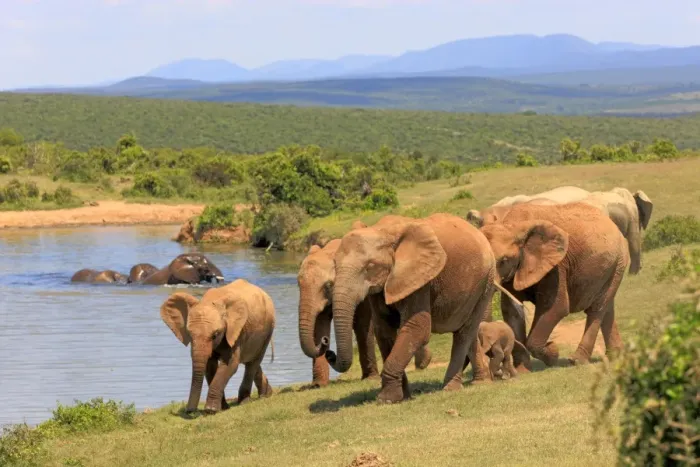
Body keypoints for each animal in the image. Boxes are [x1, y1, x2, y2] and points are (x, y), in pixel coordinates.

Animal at [160, 278, 276, 414]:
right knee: (250, 361)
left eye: (215, 335)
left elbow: (230, 364)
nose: (190, 410)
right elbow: (210, 366)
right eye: (189, 334)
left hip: (268, 329)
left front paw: (211, 410)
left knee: (253, 362)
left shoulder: (235, 330)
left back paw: (245, 401)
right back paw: (267, 394)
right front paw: (223, 408)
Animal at [297, 219, 432, 389]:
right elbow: (319, 326)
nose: (327, 345)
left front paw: (370, 378)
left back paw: (423, 363)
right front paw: (318, 385)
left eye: (328, 286)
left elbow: (362, 325)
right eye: (298, 285)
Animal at [324, 213, 512, 403]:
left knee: (464, 332)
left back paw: (450, 388)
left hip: (485, 283)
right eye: (334, 265)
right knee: (468, 331)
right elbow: (383, 331)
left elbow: (417, 328)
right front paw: (402, 396)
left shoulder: (420, 279)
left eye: (369, 267)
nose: (328, 350)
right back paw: (481, 382)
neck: (381, 230)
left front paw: (385, 399)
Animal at [479, 202, 629, 370]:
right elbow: (511, 310)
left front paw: (553, 354)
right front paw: (523, 370)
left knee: (597, 309)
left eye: (503, 261)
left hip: (619, 261)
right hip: (613, 265)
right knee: (607, 307)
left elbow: (556, 308)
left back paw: (577, 360)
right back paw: (616, 356)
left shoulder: (556, 267)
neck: (512, 225)